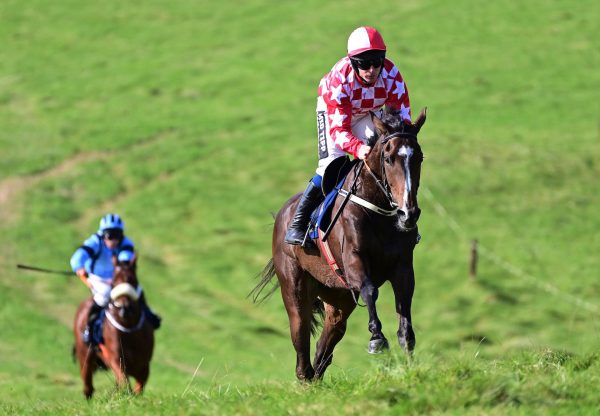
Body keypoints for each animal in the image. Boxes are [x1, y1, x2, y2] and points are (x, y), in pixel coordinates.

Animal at [73, 256, 155, 400]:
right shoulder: (116, 359)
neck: (129, 327)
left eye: (132, 279)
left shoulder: (144, 365)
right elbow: (125, 382)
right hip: (85, 356)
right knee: (88, 387)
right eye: (114, 280)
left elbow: (139, 386)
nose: (123, 307)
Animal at [251, 106, 424, 380]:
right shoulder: (353, 261)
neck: (379, 211)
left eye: (419, 158)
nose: (409, 213)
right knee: (302, 349)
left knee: (324, 349)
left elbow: (405, 319)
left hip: (338, 299)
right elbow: (370, 290)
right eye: (388, 159)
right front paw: (376, 338)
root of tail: (282, 215)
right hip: (295, 289)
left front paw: (409, 365)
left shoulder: (403, 268)